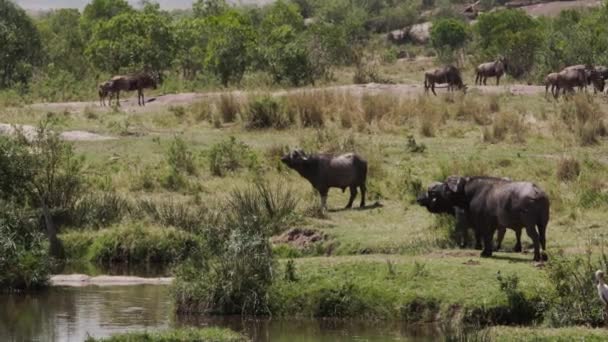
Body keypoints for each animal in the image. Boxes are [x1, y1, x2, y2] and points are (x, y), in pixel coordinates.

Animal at [420, 176, 548, 262]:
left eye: (445, 185)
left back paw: (536, 257)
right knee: (543, 238)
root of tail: (537, 191)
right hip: (543, 224)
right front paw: (488, 251)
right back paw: (544, 256)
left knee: (535, 237)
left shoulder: (484, 224)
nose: (431, 190)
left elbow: (486, 238)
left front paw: (485, 252)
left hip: (529, 225)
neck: (471, 193)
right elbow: (488, 238)